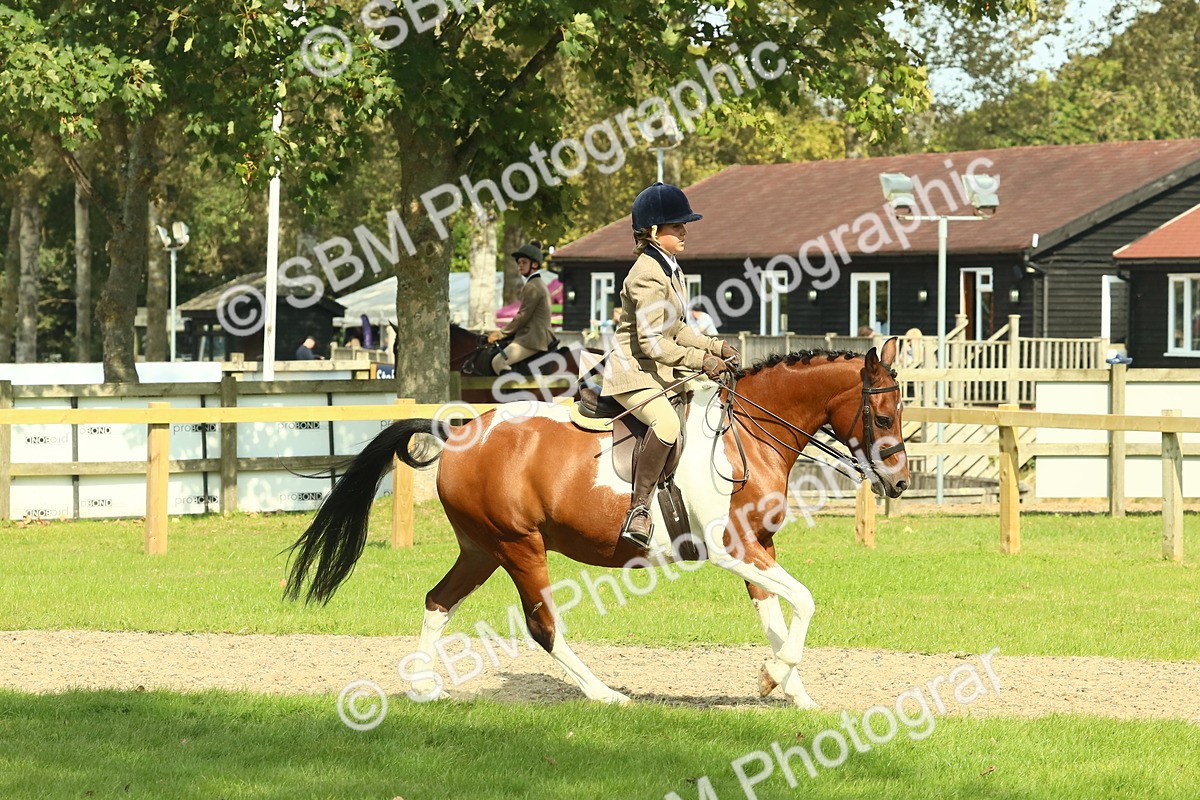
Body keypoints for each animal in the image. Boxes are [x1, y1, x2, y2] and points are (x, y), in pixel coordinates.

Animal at [285, 338, 910, 707]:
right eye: (882, 416)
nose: (899, 483)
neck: (746, 435)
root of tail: (460, 431)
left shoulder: (759, 547)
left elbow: (777, 618)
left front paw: (790, 689)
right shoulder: (730, 547)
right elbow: (804, 600)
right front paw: (771, 678)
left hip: (480, 549)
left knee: (438, 601)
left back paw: (421, 685)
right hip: (520, 547)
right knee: (542, 627)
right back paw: (604, 694)